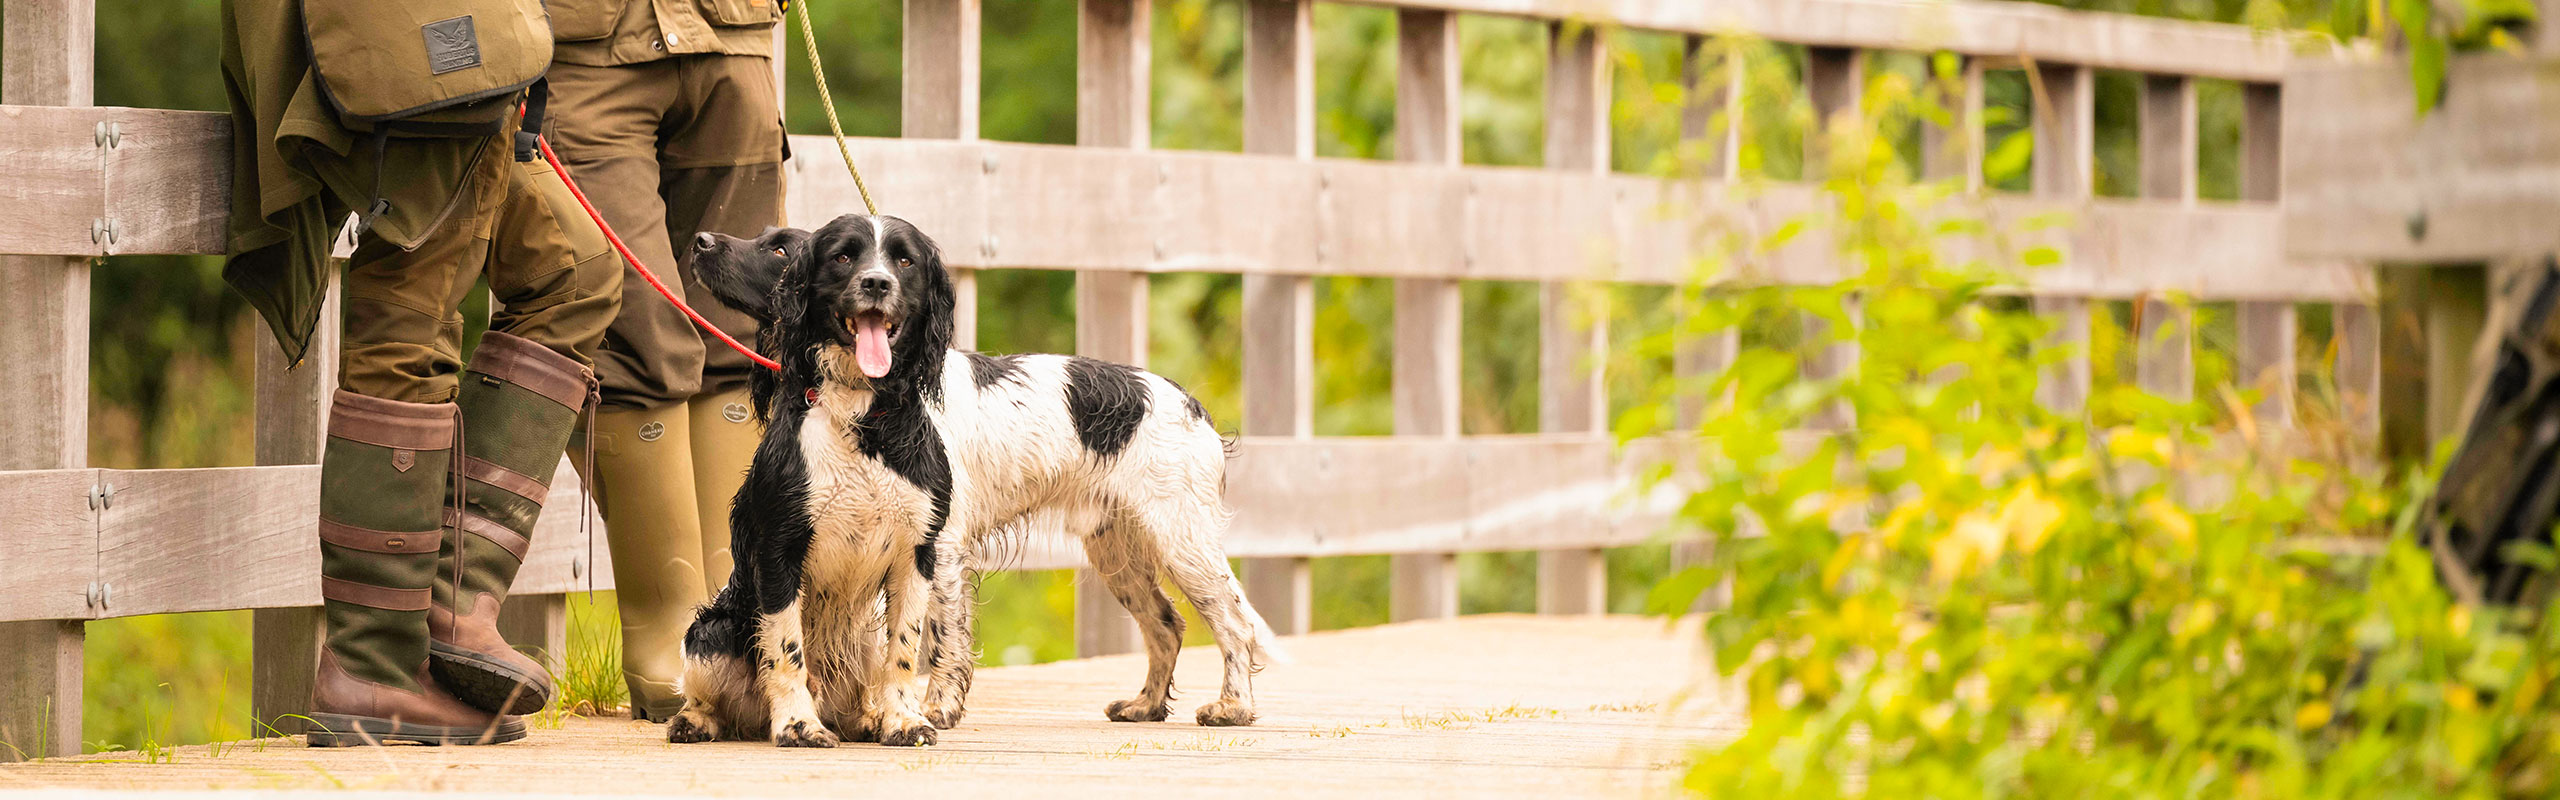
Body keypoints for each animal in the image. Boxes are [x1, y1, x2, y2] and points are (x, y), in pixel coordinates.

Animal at [675, 215, 1290, 748]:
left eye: (780, 248)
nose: (701, 241)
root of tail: (1192, 405)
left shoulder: (938, 544)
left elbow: (937, 639)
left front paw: (934, 709)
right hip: (1118, 550)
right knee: (1166, 625)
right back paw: (1145, 705)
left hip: (1181, 539)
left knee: (1234, 624)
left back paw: (1232, 708)